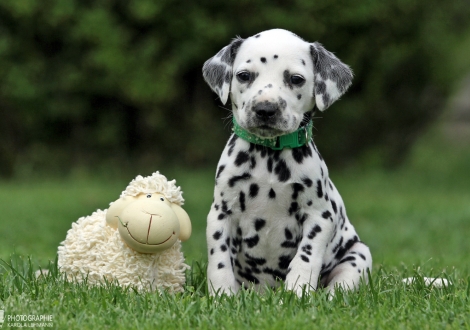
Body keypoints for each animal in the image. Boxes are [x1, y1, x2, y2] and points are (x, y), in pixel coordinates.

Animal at [202, 29, 370, 296]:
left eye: (296, 79)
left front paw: (296, 294)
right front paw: (222, 296)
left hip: (359, 255)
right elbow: (219, 261)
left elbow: (305, 259)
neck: (270, 157)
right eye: (244, 76)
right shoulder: (220, 214)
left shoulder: (319, 217)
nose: (265, 109)